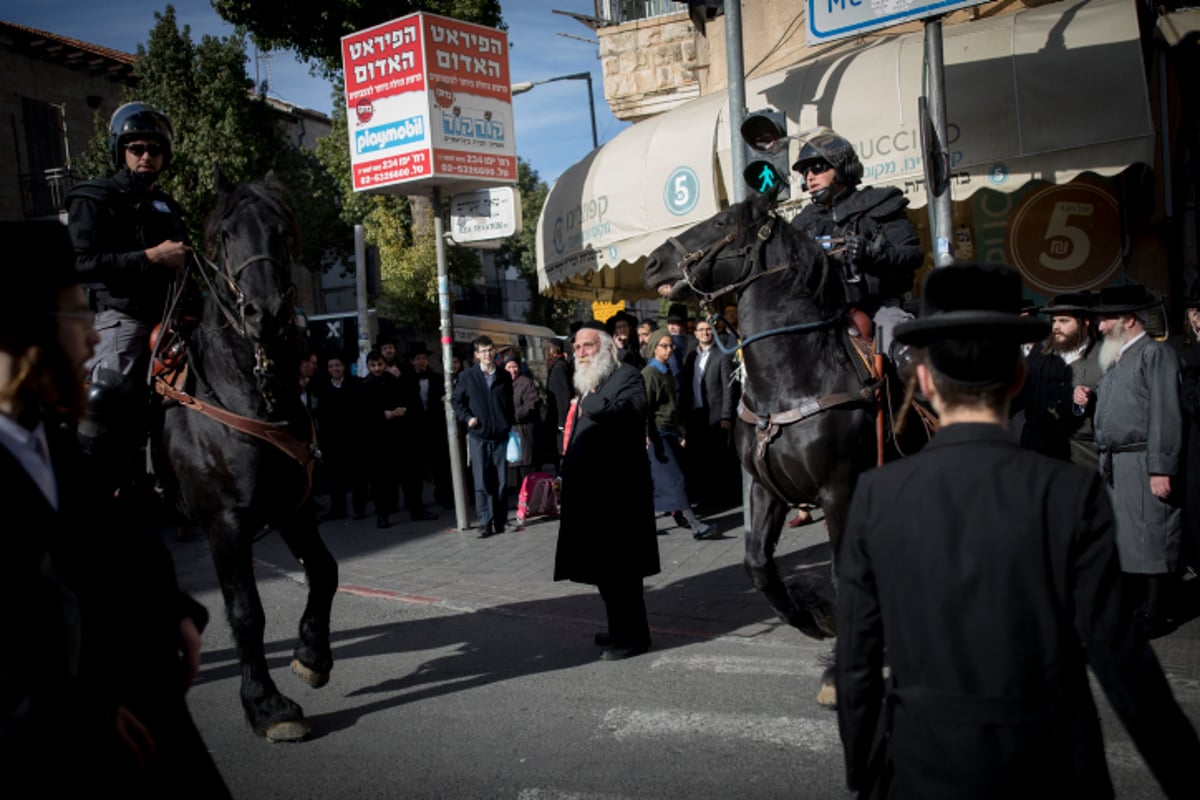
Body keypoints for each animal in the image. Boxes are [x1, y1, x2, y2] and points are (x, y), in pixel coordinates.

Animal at [156, 172, 338, 743]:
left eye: (281, 230)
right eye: (227, 234)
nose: (267, 313)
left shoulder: (294, 508)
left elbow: (325, 571)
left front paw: (311, 655)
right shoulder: (225, 522)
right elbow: (245, 612)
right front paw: (267, 706)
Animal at [648, 190, 892, 705]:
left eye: (722, 220)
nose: (653, 262)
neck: (793, 378)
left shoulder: (839, 491)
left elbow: (843, 575)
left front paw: (837, 671)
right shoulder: (765, 488)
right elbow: (758, 566)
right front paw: (816, 618)